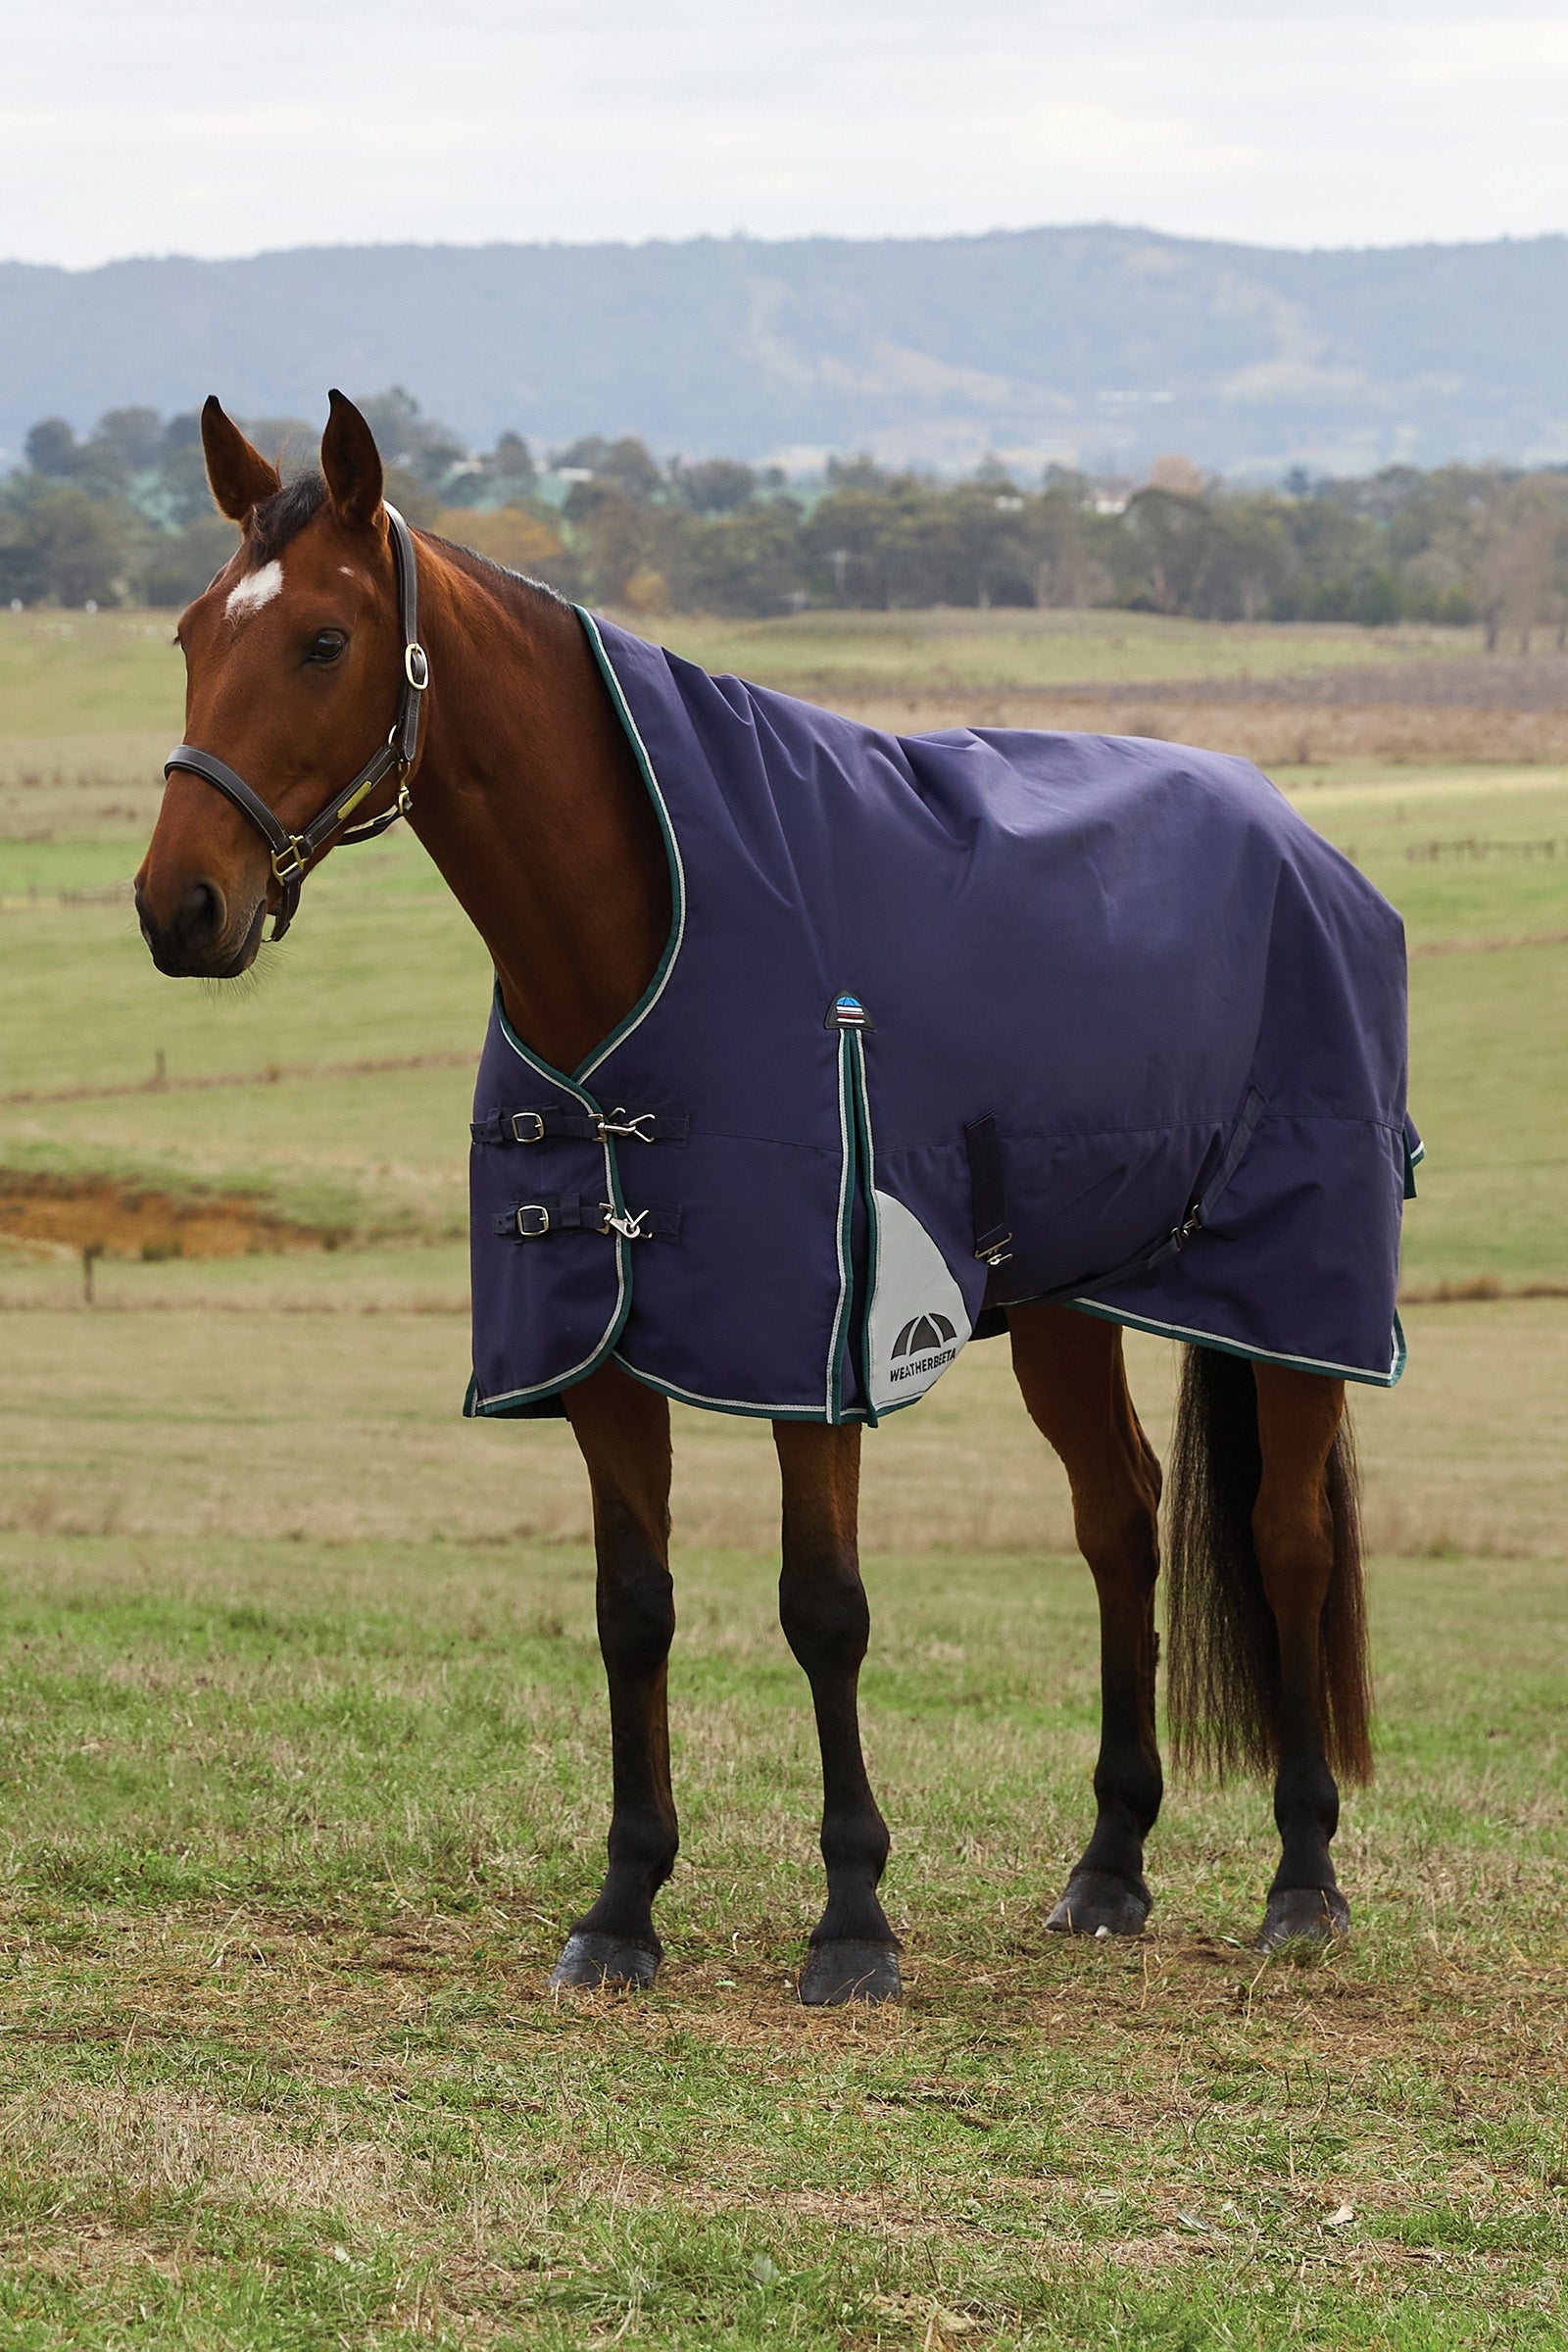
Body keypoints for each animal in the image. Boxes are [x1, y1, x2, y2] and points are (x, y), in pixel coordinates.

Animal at [134, 391, 1386, 2005]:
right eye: (187, 633)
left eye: (325, 641)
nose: (179, 908)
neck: (647, 935)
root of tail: (1296, 837)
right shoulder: (598, 1352)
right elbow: (633, 1612)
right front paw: (622, 1907)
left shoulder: (818, 1350)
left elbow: (824, 1610)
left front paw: (853, 1920)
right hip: (1061, 1303)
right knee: (1121, 1521)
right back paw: (1109, 1865)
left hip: (1295, 1297)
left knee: (1287, 1540)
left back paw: (1304, 1881)